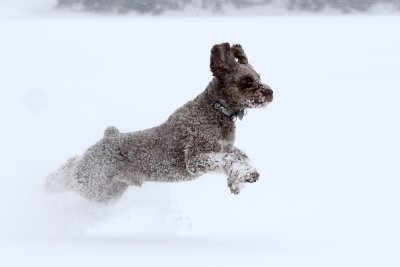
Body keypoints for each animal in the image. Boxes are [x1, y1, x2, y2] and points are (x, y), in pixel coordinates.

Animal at [46, 42, 272, 201]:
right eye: (246, 81)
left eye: (259, 76)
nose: (270, 92)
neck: (216, 109)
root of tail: (106, 137)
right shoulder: (194, 160)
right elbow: (225, 160)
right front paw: (245, 174)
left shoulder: (224, 147)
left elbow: (239, 155)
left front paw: (237, 181)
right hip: (91, 183)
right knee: (69, 172)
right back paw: (49, 183)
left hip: (109, 191)